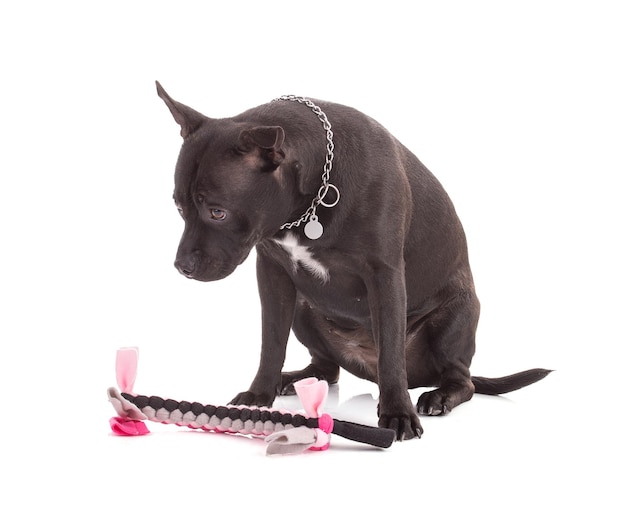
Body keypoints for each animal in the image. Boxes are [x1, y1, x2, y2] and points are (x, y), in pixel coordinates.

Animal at [156, 83, 544, 440]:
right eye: (179, 206)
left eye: (217, 212)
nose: (181, 266)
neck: (309, 201)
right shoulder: (272, 273)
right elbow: (271, 342)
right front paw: (259, 394)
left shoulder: (385, 277)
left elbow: (391, 354)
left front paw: (398, 414)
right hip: (303, 309)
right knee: (327, 368)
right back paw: (293, 378)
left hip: (456, 316)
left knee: (462, 379)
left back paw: (439, 396)